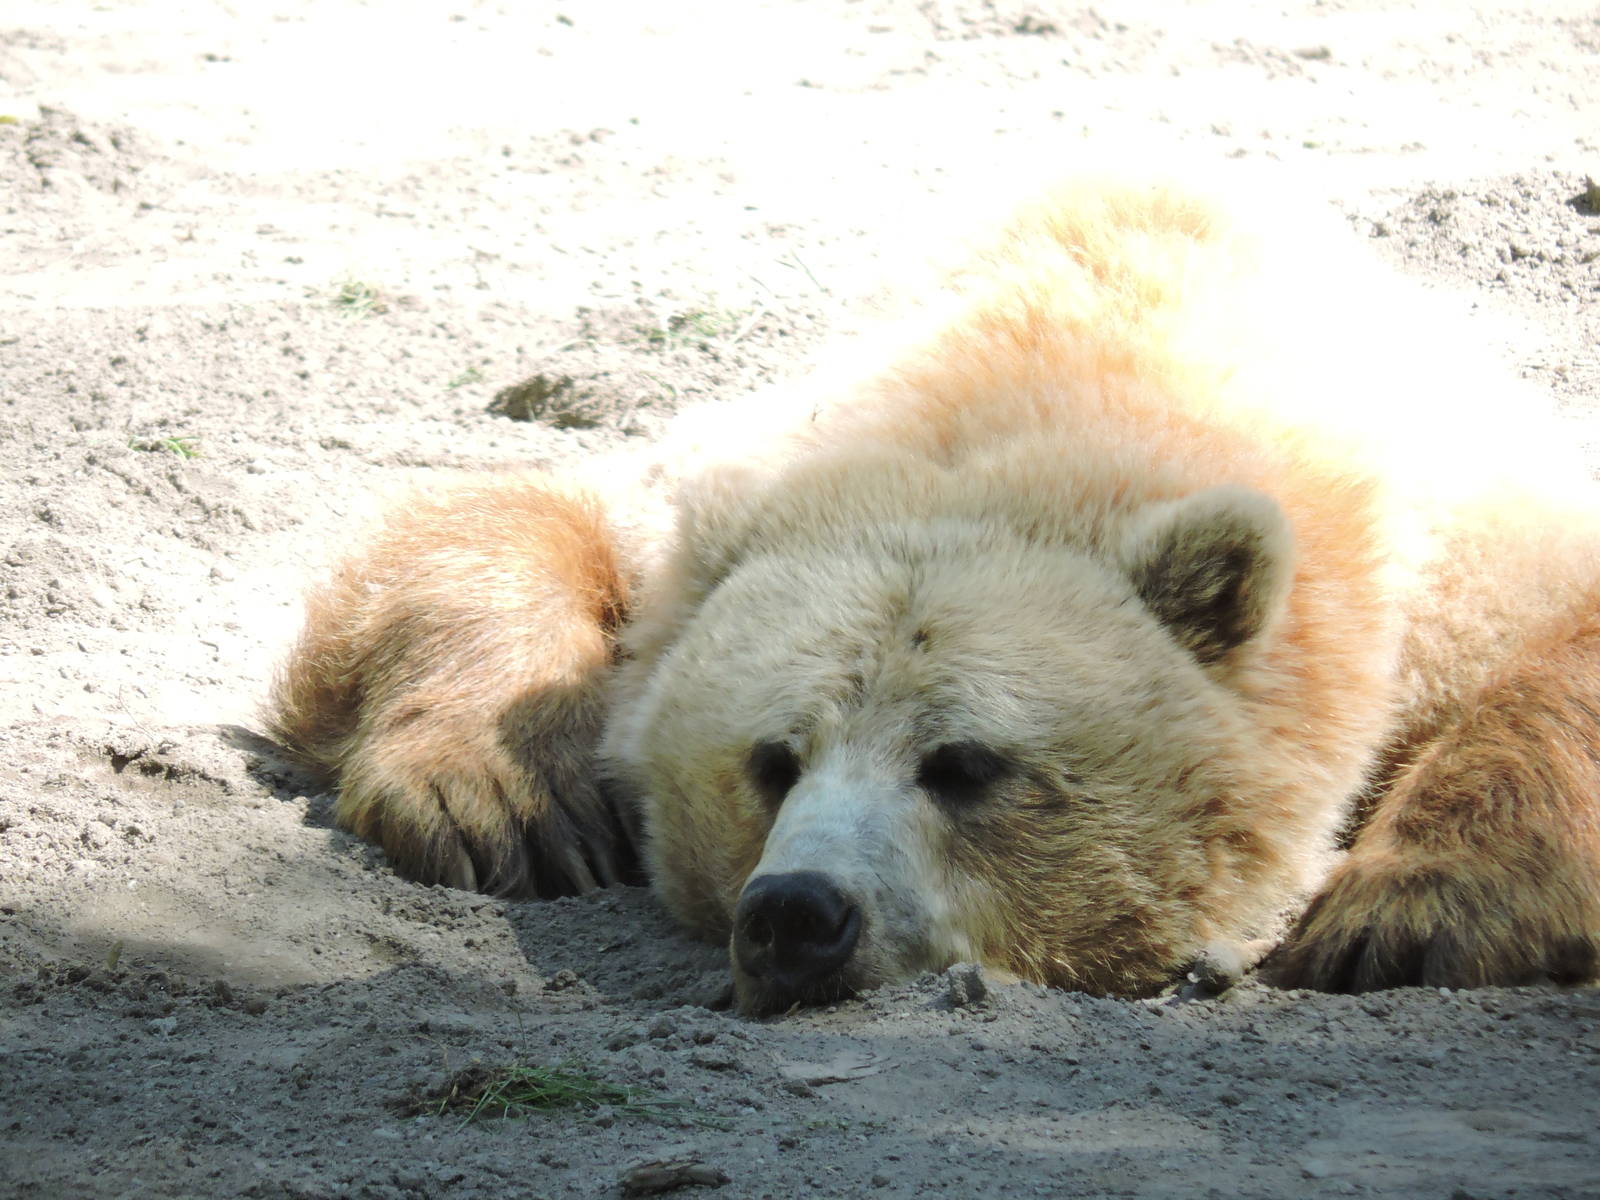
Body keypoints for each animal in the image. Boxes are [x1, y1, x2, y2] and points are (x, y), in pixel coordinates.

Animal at [270, 177, 1600, 1013]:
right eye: (770, 759)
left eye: (966, 763)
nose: (795, 916)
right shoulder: (738, 498)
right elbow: (512, 522)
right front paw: (498, 803)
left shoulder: (1450, 548)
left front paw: (1405, 914)